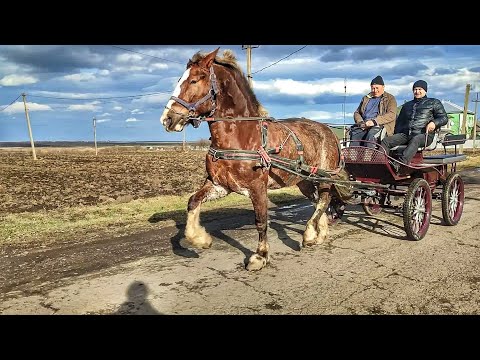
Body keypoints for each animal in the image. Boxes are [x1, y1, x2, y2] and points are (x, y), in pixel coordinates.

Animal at [159, 48, 350, 272]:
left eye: (195, 80)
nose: (167, 119)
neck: (241, 136)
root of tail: (329, 131)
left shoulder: (257, 186)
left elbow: (261, 221)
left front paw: (260, 256)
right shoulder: (219, 184)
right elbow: (192, 201)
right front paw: (199, 238)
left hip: (324, 177)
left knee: (324, 199)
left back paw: (310, 233)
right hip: (304, 180)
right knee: (318, 200)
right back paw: (320, 233)